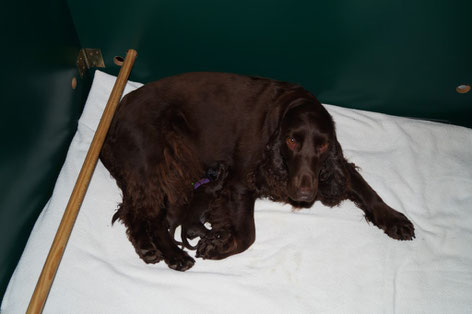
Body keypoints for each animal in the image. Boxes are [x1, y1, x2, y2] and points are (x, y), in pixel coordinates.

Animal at [99, 72, 412, 272]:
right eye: (292, 140)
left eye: (322, 145)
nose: (304, 193)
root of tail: (115, 115)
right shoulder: (239, 182)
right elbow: (248, 233)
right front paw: (217, 245)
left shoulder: (333, 164)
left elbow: (364, 187)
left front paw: (393, 218)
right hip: (157, 161)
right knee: (148, 215)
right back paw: (171, 254)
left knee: (139, 212)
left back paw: (150, 248)